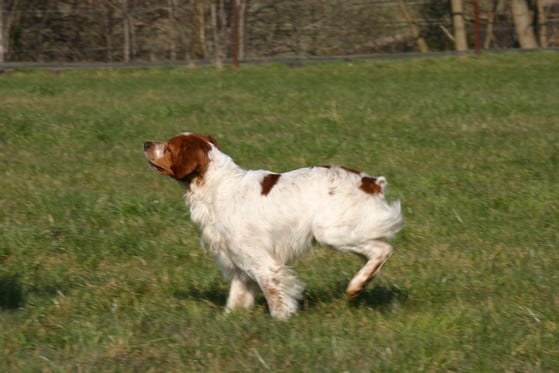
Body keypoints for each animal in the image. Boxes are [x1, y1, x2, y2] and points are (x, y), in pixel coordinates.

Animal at [144, 132, 402, 318]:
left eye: (169, 148)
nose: (146, 143)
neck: (217, 187)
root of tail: (370, 182)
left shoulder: (261, 261)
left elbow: (274, 294)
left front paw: (281, 320)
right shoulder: (238, 264)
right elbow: (235, 301)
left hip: (331, 232)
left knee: (383, 249)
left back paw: (355, 286)